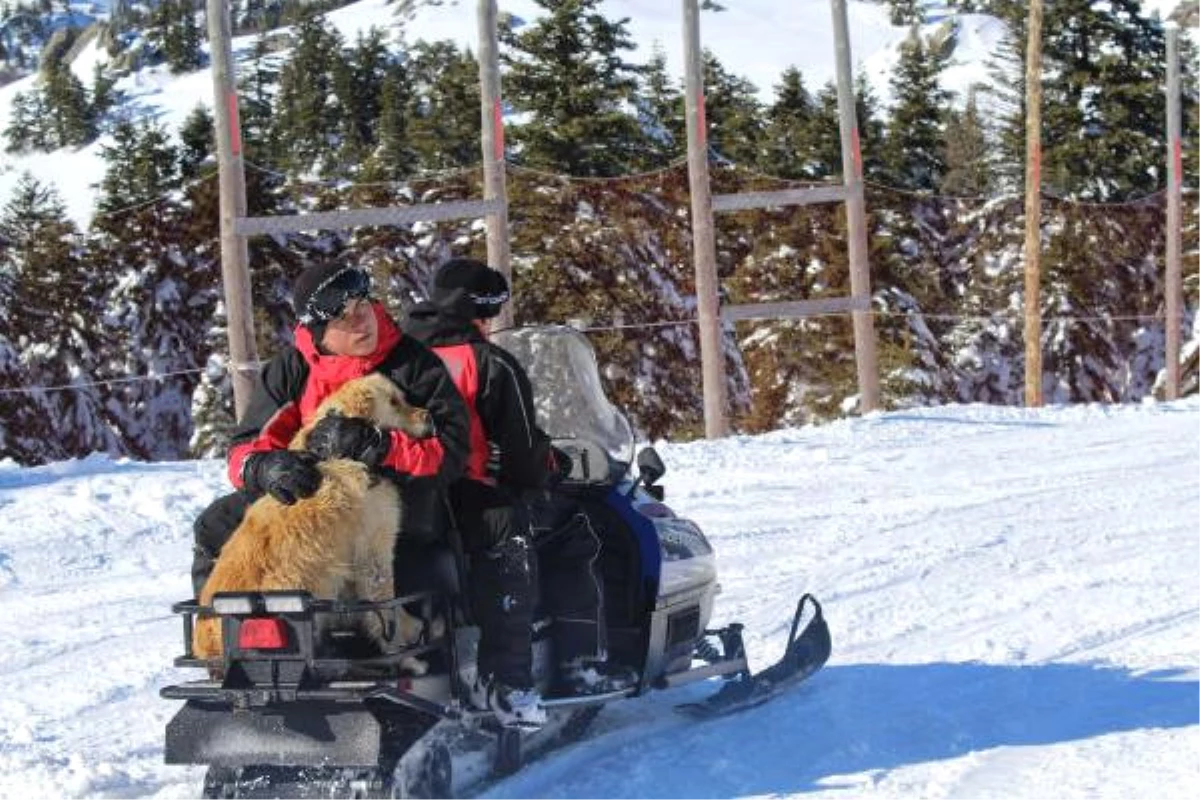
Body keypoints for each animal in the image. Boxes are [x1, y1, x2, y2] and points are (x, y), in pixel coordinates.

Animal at [194, 376, 439, 671]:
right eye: (393, 402)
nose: (430, 417)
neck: (346, 456)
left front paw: (412, 630)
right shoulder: (372, 555)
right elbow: (386, 609)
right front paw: (407, 657)